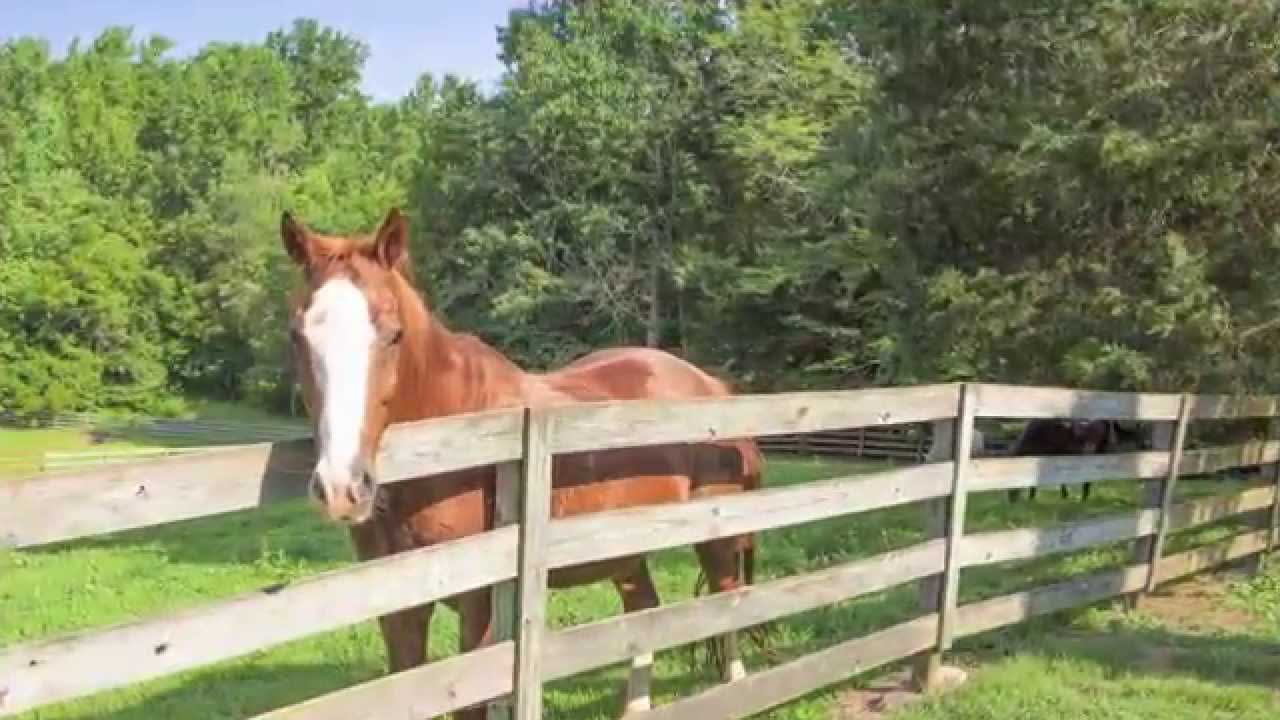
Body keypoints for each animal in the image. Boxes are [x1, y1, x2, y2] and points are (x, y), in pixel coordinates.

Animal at [281, 206, 757, 712]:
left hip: (718, 537)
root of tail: (711, 385)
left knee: (729, 604)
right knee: (643, 611)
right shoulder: (400, 605)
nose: (341, 488)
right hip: (625, 549)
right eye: (298, 335)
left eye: (393, 335)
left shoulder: (480, 606)